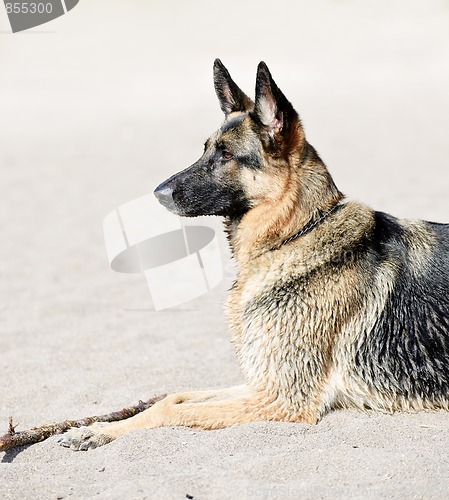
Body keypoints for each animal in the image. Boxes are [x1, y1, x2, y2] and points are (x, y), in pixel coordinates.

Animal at [59, 60, 448, 452]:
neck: (294, 235)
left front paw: (102, 431)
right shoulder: (261, 383)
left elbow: (173, 410)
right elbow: (173, 397)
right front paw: (99, 429)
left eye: (227, 155)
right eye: (204, 150)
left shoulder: (280, 397)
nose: (158, 193)